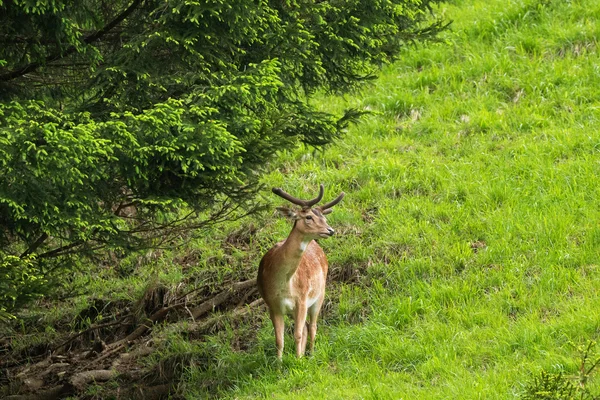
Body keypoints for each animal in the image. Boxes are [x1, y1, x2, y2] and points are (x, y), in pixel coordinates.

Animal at [256, 184, 342, 360]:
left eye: (324, 219)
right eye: (308, 217)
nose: (330, 230)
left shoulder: (302, 299)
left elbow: (297, 334)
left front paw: (298, 361)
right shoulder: (272, 304)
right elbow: (279, 339)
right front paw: (279, 364)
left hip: (319, 295)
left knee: (313, 326)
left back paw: (311, 354)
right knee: (307, 326)